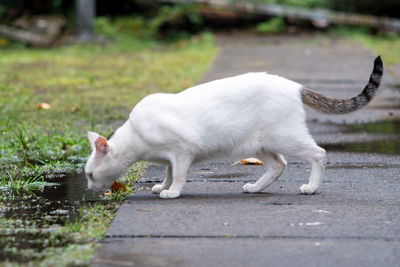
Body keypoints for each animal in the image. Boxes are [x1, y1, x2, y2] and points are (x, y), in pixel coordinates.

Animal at [84, 56, 382, 199]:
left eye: (88, 175)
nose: (87, 188)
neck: (136, 135)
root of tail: (294, 85)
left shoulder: (182, 151)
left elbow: (178, 175)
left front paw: (172, 192)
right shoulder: (171, 157)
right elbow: (168, 172)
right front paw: (162, 186)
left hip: (285, 137)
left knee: (318, 153)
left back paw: (311, 187)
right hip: (260, 144)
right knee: (279, 165)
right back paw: (255, 188)